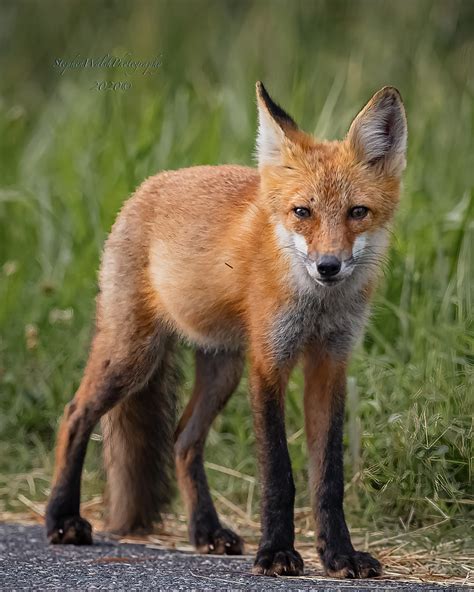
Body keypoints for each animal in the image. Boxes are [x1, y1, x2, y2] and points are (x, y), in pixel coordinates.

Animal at [46, 83, 406, 580]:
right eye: (302, 212)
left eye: (358, 212)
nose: (328, 266)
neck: (316, 305)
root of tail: (147, 186)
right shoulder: (269, 362)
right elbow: (278, 472)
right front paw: (276, 552)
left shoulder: (329, 363)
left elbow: (328, 478)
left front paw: (339, 554)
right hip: (133, 356)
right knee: (74, 414)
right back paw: (62, 519)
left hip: (221, 369)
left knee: (182, 440)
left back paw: (206, 531)